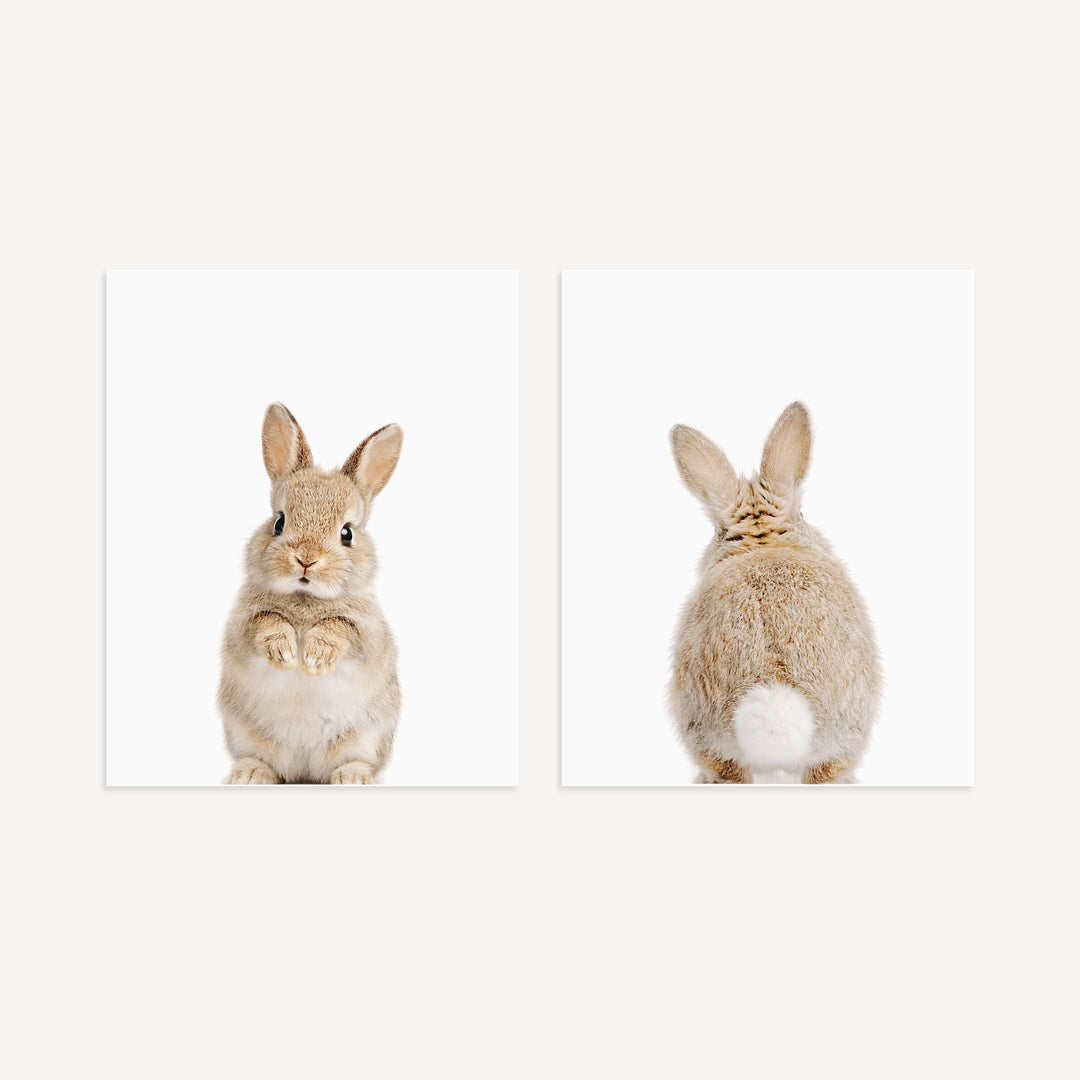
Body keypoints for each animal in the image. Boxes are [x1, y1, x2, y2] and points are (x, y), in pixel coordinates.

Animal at [218, 403, 402, 784]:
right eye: (278, 522)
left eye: (347, 533)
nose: (306, 559)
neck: (306, 598)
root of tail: (304, 770)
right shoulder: (243, 625)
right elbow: (267, 623)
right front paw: (286, 654)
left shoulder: (366, 633)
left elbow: (339, 628)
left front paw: (314, 659)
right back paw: (250, 774)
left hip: (365, 738)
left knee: (355, 761)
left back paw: (353, 778)